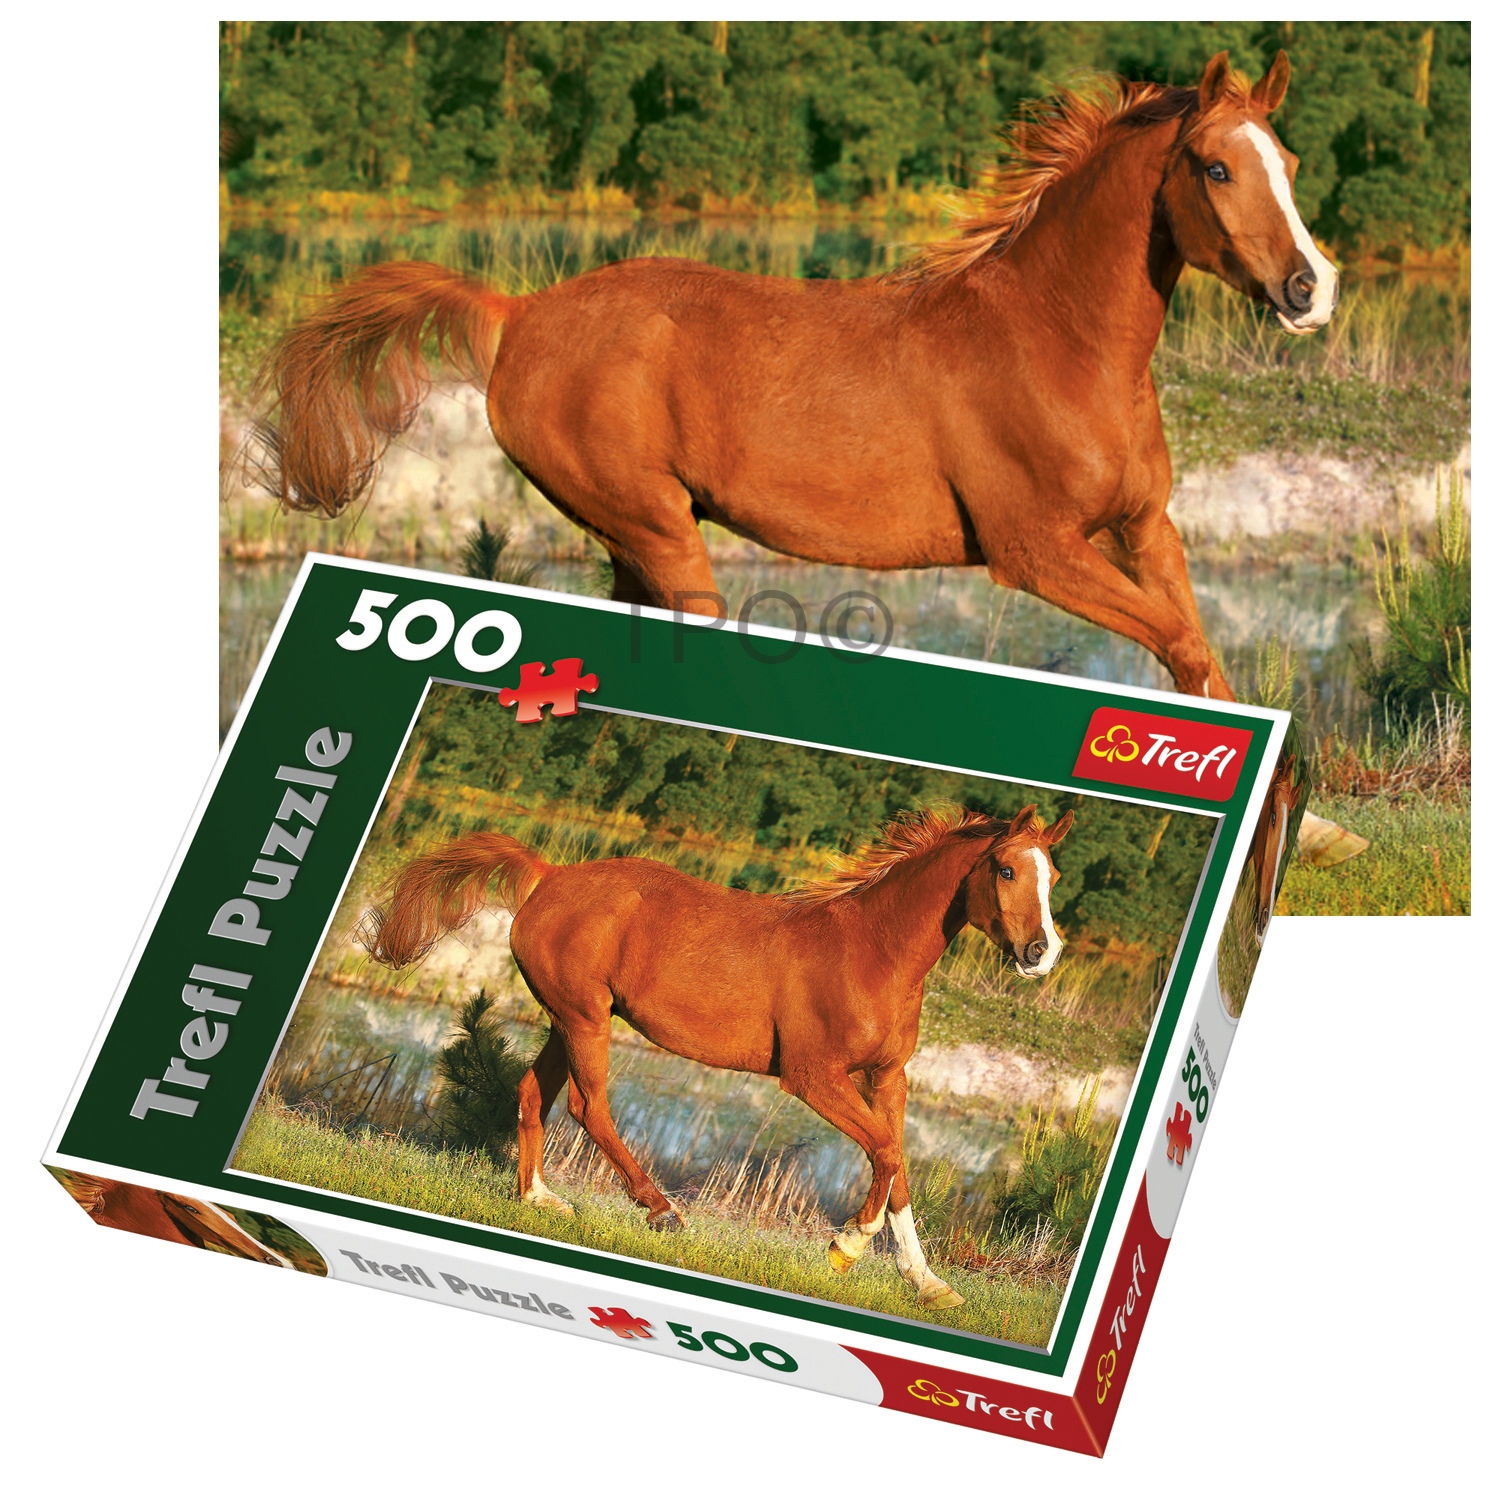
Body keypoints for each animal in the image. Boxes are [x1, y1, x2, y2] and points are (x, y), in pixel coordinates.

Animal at [250, 51, 1335, 702]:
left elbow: (1202, 658)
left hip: (630, 537)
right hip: (656, 525)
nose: (1308, 288)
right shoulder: (1036, 553)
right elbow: (1180, 643)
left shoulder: (1145, 528)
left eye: (1286, 159)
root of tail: (518, 316)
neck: (1055, 345)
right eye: (1215, 167)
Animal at [364, 803, 1074, 1312]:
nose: (1042, 954)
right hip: (585, 1021)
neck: (872, 952)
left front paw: (926, 1283)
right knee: (590, 1107)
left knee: (534, 1093)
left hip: (568, 1021)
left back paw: (540, 1199)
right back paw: (661, 1210)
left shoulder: (888, 1078)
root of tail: (550, 877)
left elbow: (896, 1160)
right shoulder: (813, 1077)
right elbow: (886, 1150)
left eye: (1054, 877)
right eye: (1006, 870)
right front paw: (844, 1247)